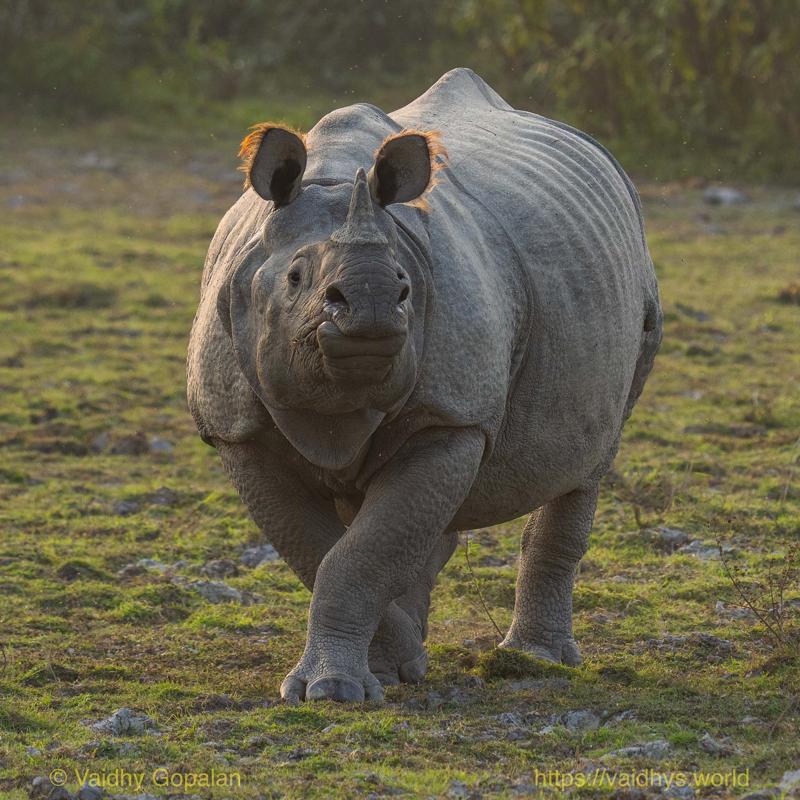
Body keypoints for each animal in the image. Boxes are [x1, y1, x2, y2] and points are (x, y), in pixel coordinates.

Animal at [187, 68, 662, 703]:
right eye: (294, 277)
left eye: (404, 283)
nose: (372, 305)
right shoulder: (236, 427)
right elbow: (321, 548)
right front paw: (385, 669)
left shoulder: (452, 414)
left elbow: (358, 554)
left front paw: (335, 689)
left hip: (633, 292)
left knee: (586, 463)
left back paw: (534, 661)